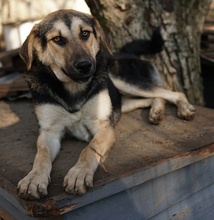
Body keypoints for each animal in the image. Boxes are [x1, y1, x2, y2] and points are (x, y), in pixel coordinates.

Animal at [17, 9, 196, 199]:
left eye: (85, 33)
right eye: (57, 39)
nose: (85, 65)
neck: (73, 89)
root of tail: (123, 52)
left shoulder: (103, 126)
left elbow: (90, 149)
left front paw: (79, 173)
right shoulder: (49, 131)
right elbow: (41, 155)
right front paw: (34, 179)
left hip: (123, 80)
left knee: (172, 92)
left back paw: (184, 108)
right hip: (123, 100)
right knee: (154, 98)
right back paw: (156, 112)